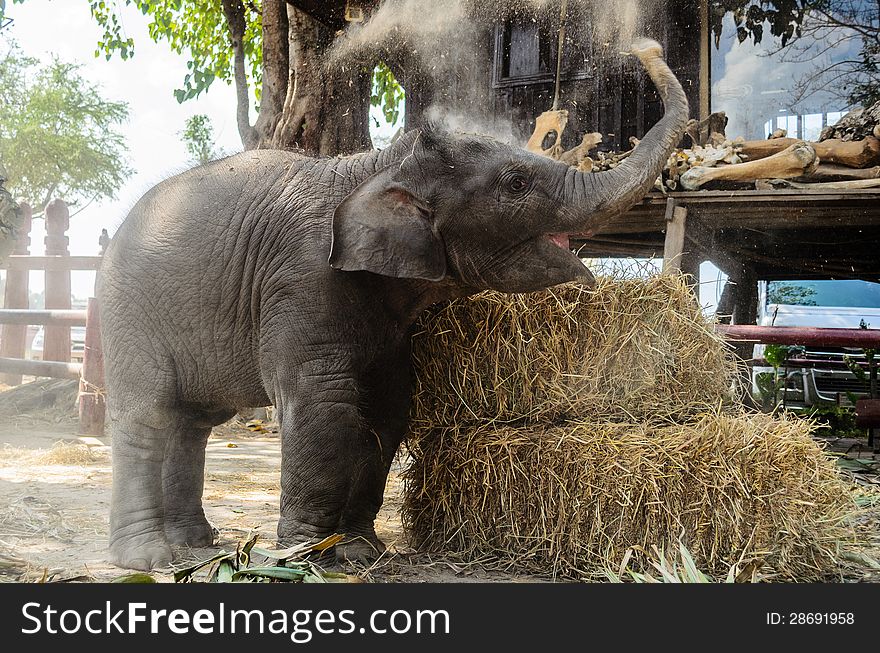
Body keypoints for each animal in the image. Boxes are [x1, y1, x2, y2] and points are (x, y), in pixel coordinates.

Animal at [101, 42, 688, 572]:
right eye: (517, 183)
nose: (646, 47)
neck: (380, 162)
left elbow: (387, 409)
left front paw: (360, 552)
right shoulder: (303, 281)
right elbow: (324, 407)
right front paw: (302, 558)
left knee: (192, 425)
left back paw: (197, 546)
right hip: (127, 314)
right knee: (148, 415)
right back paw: (150, 558)